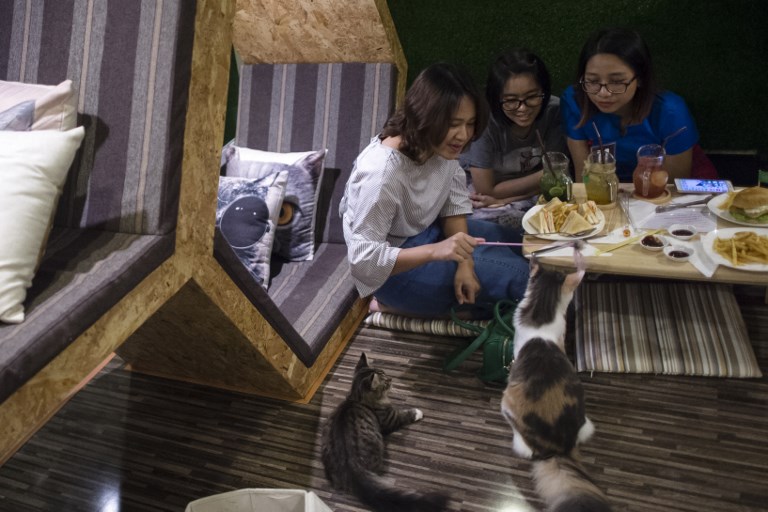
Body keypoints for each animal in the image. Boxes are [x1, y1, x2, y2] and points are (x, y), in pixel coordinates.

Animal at [320, 352, 450, 512]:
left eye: (386, 373)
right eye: (386, 380)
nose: (391, 378)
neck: (357, 398)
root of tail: (352, 469)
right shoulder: (391, 419)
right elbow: (405, 414)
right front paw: (417, 412)